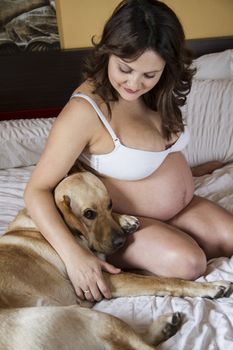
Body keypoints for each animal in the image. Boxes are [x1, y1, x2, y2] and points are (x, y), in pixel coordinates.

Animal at [0, 171, 232, 348]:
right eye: (89, 214)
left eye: (110, 204)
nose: (121, 242)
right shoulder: (103, 277)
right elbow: (164, 280)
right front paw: (210, 287)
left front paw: (125, 219)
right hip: (92, 318)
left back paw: (167, 325)